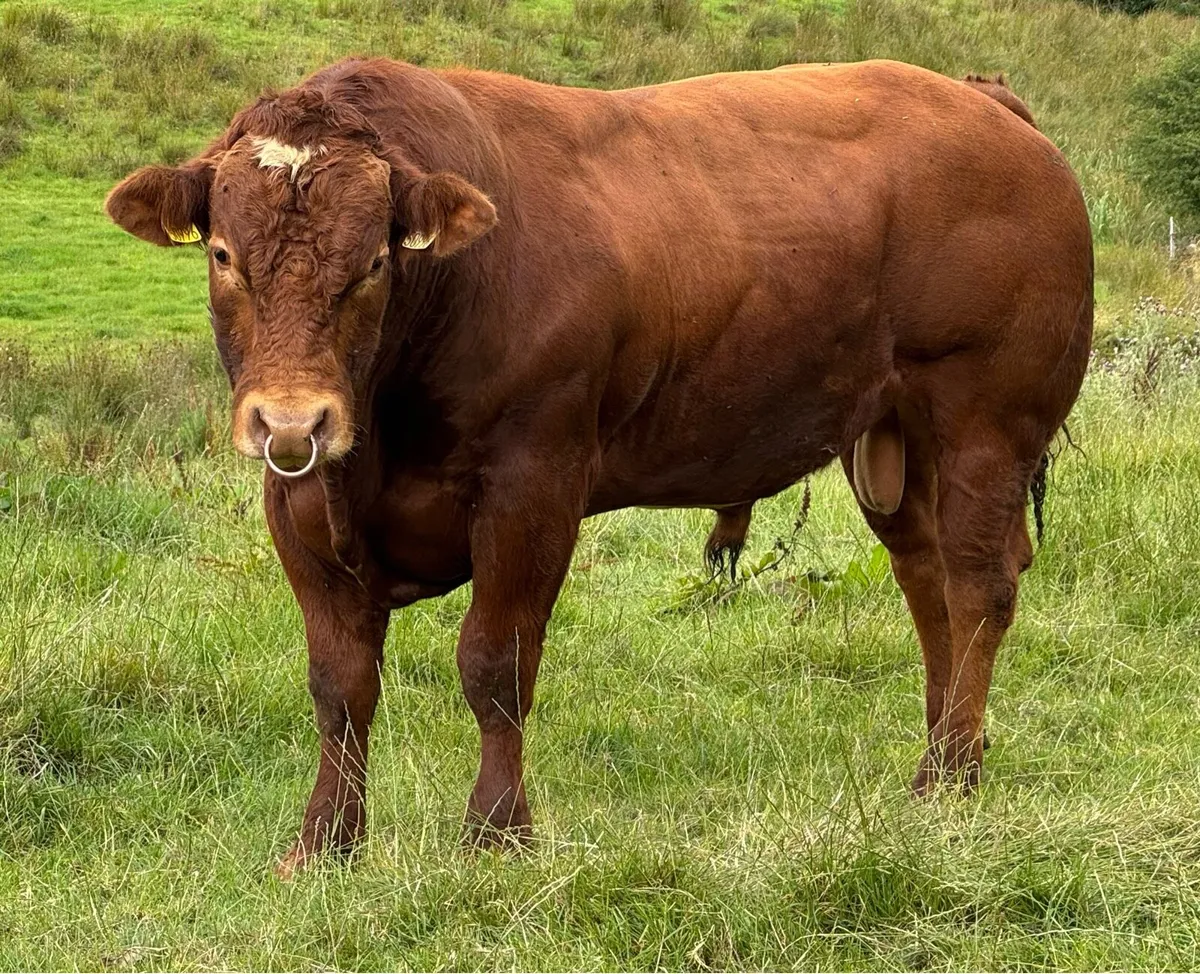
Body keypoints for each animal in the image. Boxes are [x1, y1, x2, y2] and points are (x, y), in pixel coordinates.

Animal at [105, 56, 1093, 876]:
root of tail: (983, 102)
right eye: (224, 255)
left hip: (984, 423)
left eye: (376, 261)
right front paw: (323, 844)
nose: (292, 417)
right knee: (927, 582)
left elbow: (494, 664)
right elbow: (339, 686)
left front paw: (496, 832)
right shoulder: (301, 508)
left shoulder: (533, 484)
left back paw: (954, 773)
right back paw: (939, 765)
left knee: (978, 589)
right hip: (890, 437)